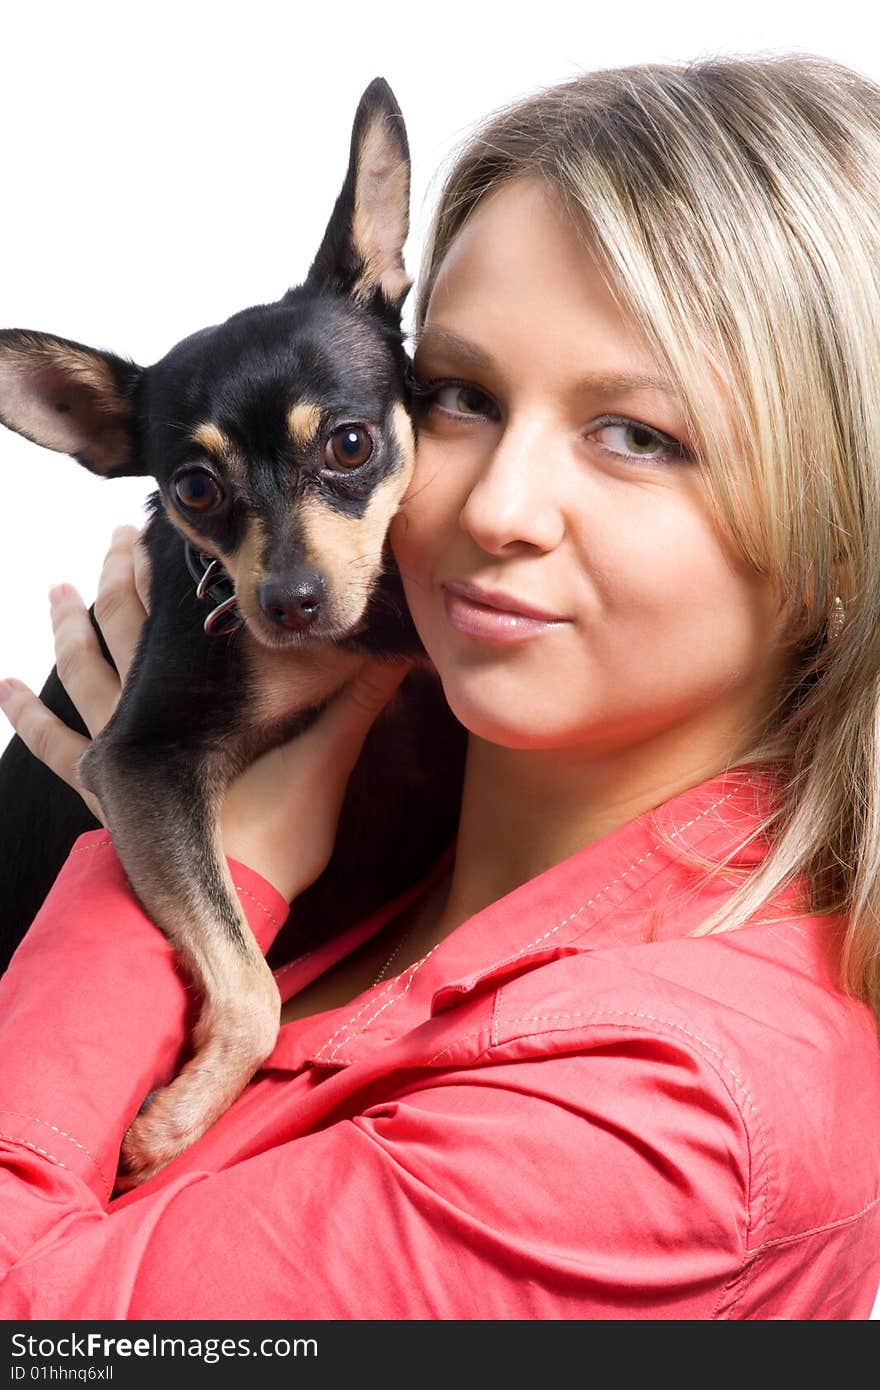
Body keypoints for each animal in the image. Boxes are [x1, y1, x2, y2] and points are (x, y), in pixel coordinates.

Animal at [0, 76, 467, 1184]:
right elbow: (249, 985)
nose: (288, 602)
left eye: (351, 443)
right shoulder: (142, 763)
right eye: (194, 491)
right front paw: (173, 1123)